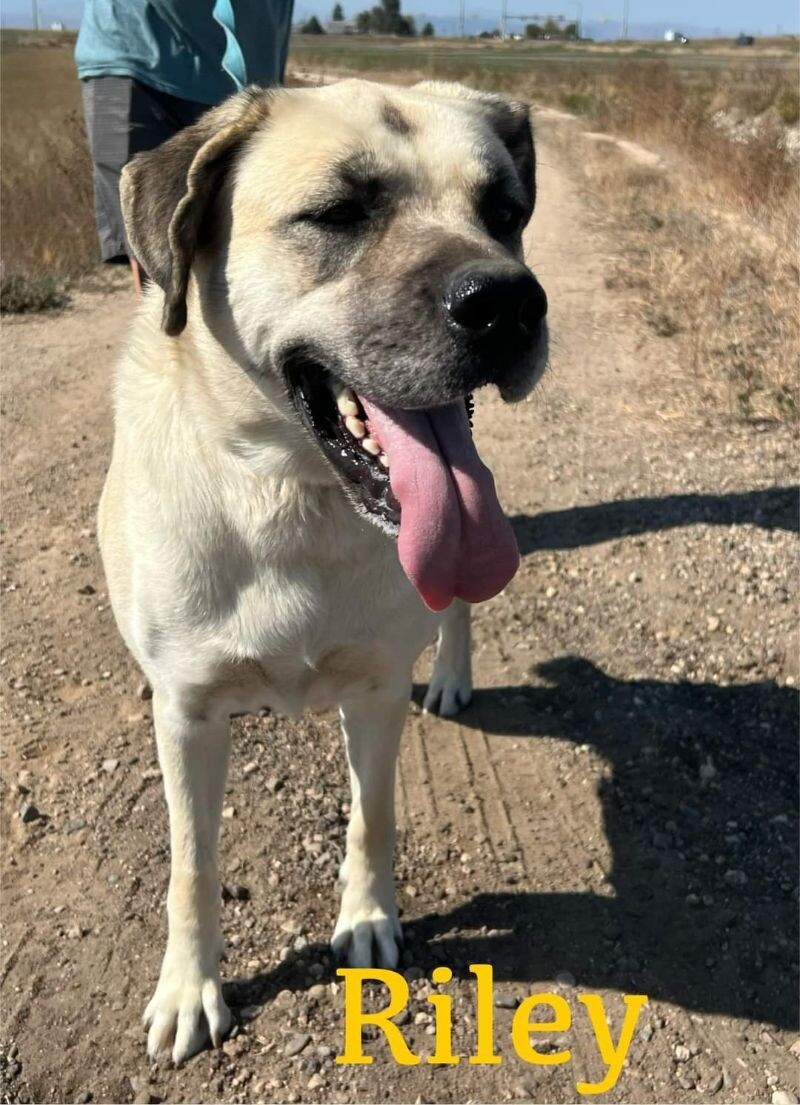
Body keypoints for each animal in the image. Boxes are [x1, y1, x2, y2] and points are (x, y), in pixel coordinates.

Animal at [98, 77, 550, 1060]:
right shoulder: (188, 716)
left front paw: (370, 918)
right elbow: (191, 867)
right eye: (340, 213)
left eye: (504, 212)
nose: (508, 302)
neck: (290, 498)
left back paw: (452, 673)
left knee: (458, 603)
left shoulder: (375, 690)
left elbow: (373, 815)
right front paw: (189, 987)